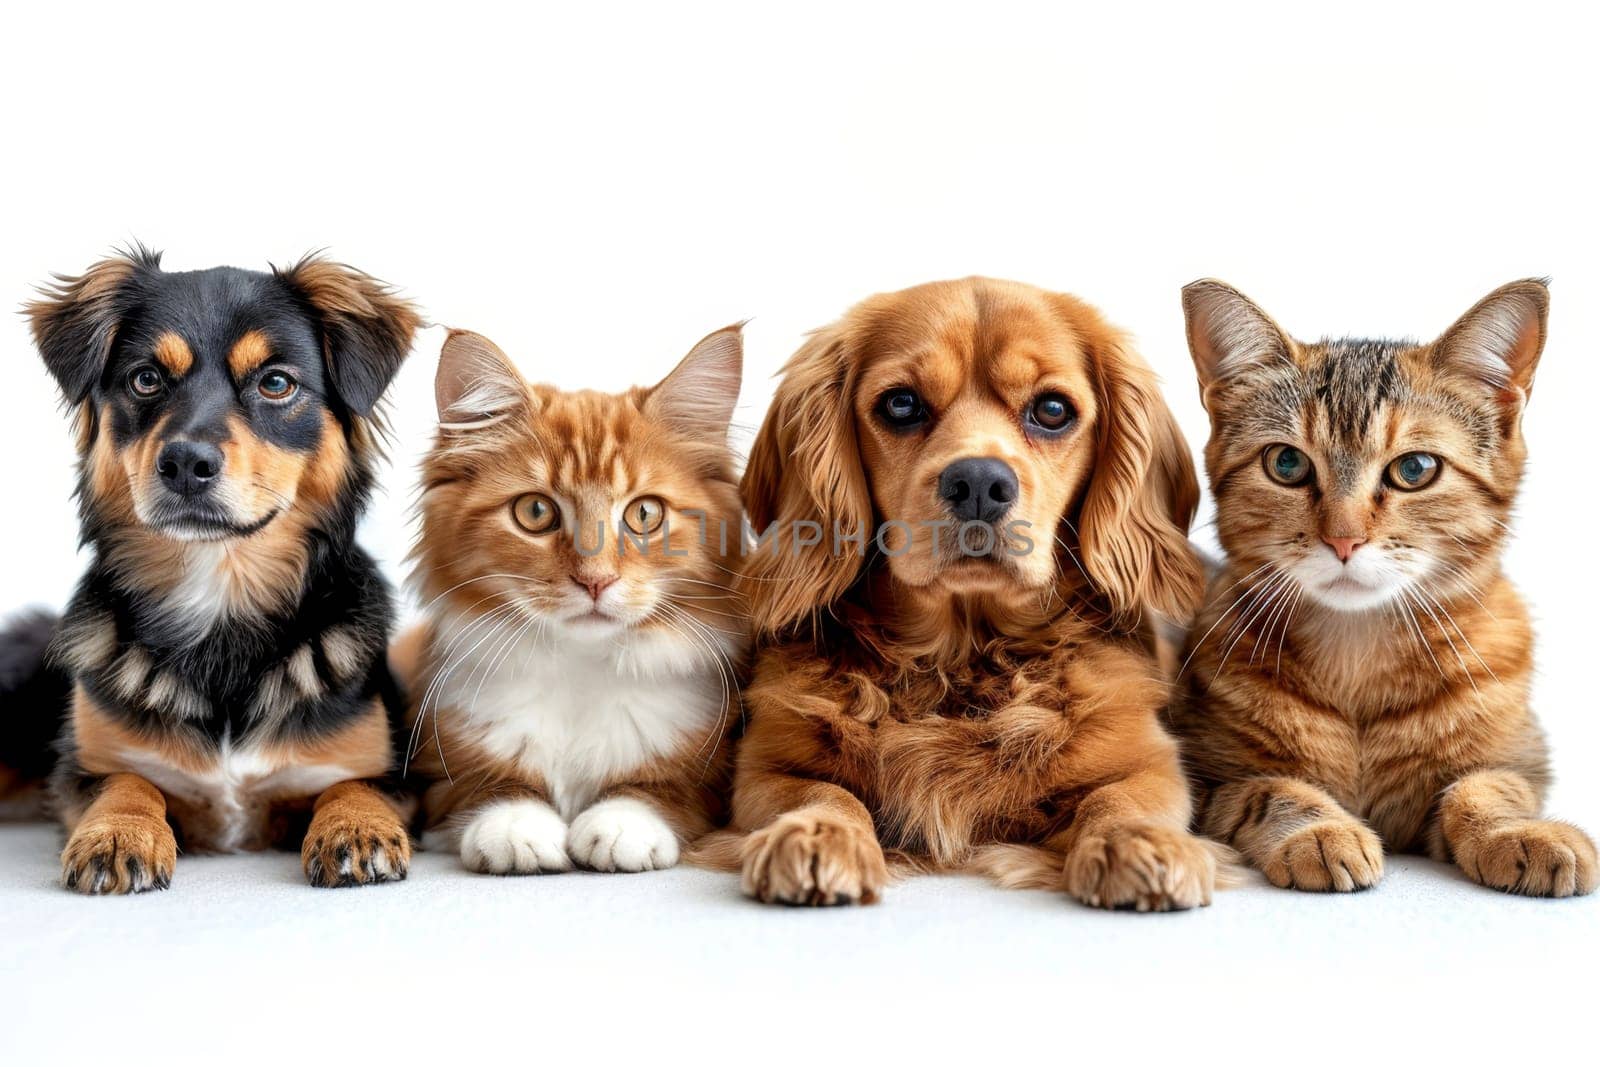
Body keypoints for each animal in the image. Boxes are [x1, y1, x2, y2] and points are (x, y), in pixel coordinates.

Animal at [0, 244, 419, 895]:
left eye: (276, 383)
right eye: (146, 378)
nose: (185, 463)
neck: (219, 583)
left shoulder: (386, 768)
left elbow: (353, 785)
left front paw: (356, 827)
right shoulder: (83, 770)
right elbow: (127, 780)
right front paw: (117, 833)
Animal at [396, 327, 752, 876]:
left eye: (645, 514)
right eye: (535, 511)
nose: (595, 581)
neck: (582, 665)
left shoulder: (704, 774)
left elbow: (657, 790)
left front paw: (621, 825)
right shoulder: (443, 764)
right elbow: (490, 786)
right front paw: (516, 826)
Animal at [1164, 279, 1600, 895]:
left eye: (1415, 469)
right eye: (1286, 463)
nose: (1343, 539)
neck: (1358, 657)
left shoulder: (1524, 760)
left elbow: (1486, 786)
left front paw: (1519, 831)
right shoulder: (1205, 780)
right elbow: (1270, 790)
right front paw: (1319, 829)